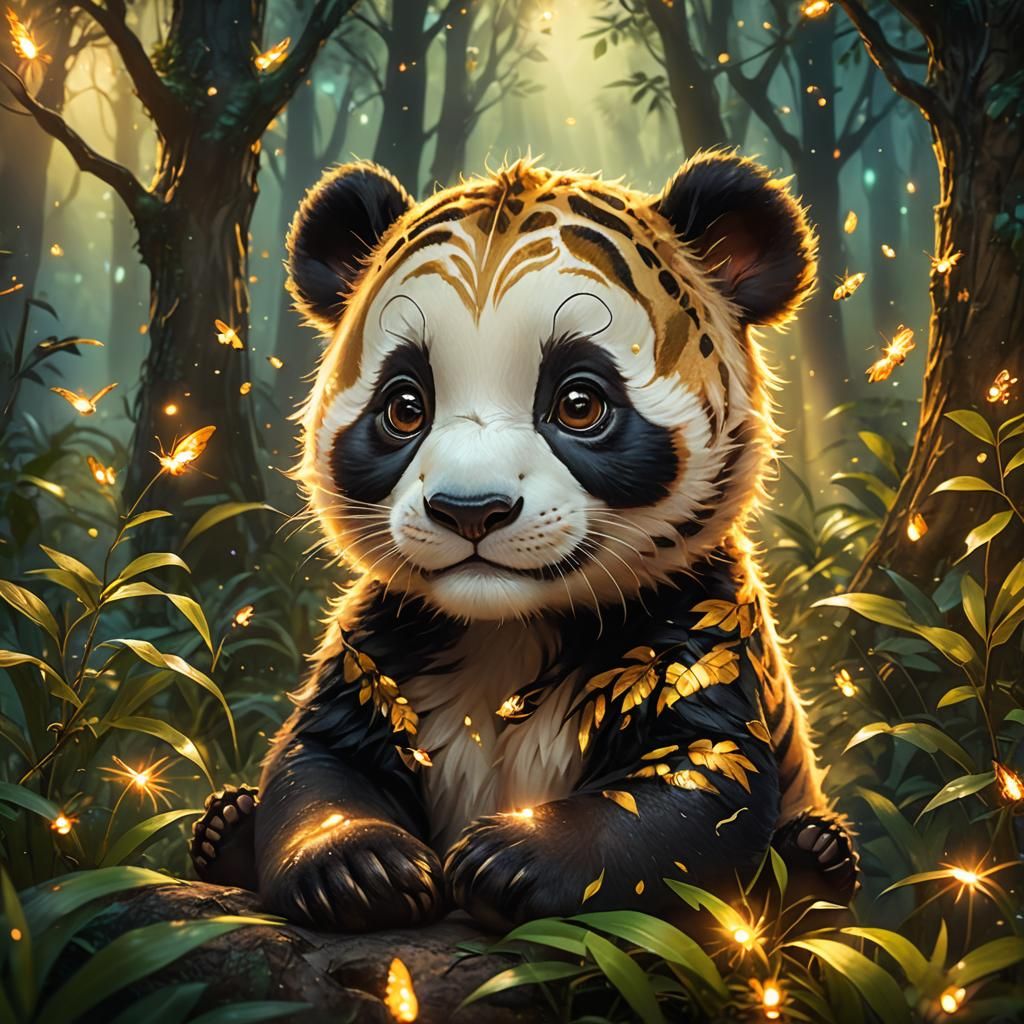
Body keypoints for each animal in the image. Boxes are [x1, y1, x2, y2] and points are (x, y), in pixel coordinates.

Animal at [189, 153, 858, 932]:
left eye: (580, 403)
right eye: (405, 406)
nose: (470, 511)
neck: (507, 625)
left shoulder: (698, 616)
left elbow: (698, 781)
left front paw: (509, 859)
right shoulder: (386, 634)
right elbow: (320, 762)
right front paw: (360, 870)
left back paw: (814, 859)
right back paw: (227, 829)